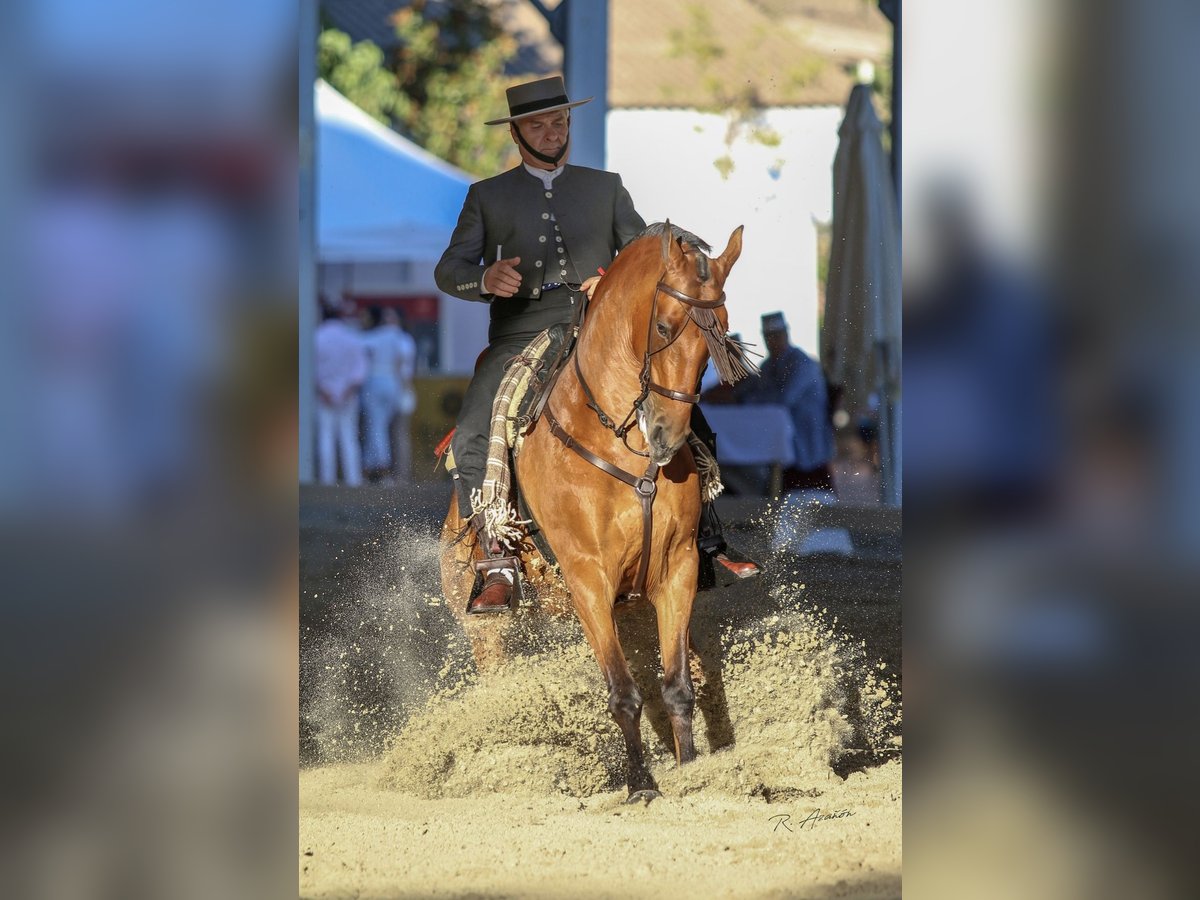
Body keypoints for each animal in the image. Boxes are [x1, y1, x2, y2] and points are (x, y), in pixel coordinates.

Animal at [439, 224, 739, 801]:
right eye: (663, 326)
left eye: (722, 334)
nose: (667, 436)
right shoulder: (587, 578)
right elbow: (623, 693)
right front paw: (641, 785)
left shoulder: (678, 570)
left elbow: (678, 685)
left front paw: (691, 771)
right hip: (486, 629)